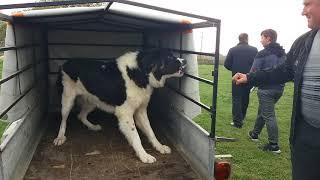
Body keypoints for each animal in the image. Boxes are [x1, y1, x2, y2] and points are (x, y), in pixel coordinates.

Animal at [53, 48, 186, 163]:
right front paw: (144, 155)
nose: (185, 61)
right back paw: (60, 137)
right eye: (169, 57)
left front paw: (160, 147)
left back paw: (92, 127)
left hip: (93, 101)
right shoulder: (125, 113)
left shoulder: (141, 111)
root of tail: (65, 63)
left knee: (81, 115)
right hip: (67, 99)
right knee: (64, 119)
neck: (140, 72)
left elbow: (151, 131)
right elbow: (136, 137)